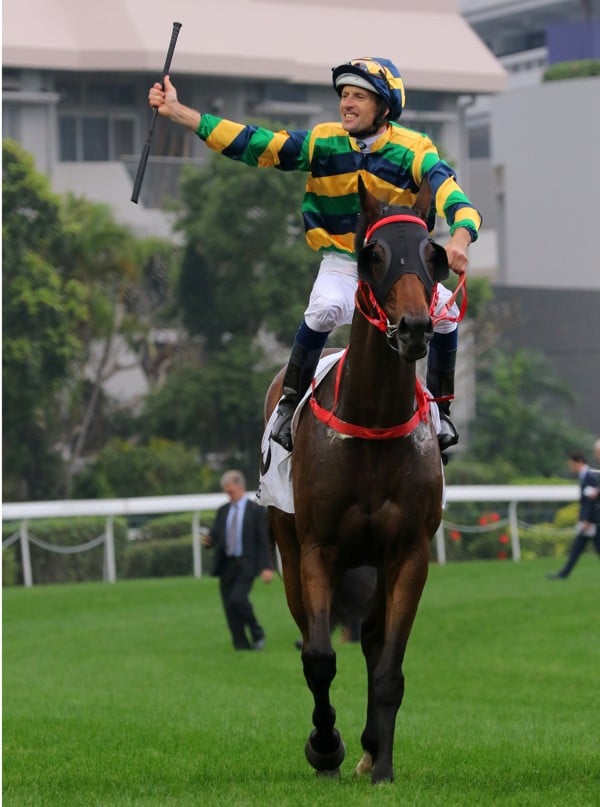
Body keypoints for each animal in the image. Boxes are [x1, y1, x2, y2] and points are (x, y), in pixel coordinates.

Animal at [268, 177, 450, 784]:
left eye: (434, 256)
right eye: (374, 254)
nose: (415, 327)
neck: (371, 422)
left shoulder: (408, 551)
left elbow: (389, 666)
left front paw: (382, 764)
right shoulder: (317, 549)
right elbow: (319, 657)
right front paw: (325, 747)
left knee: (371, 638)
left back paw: (372, 746)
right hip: (287, 546)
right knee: (312, 633)